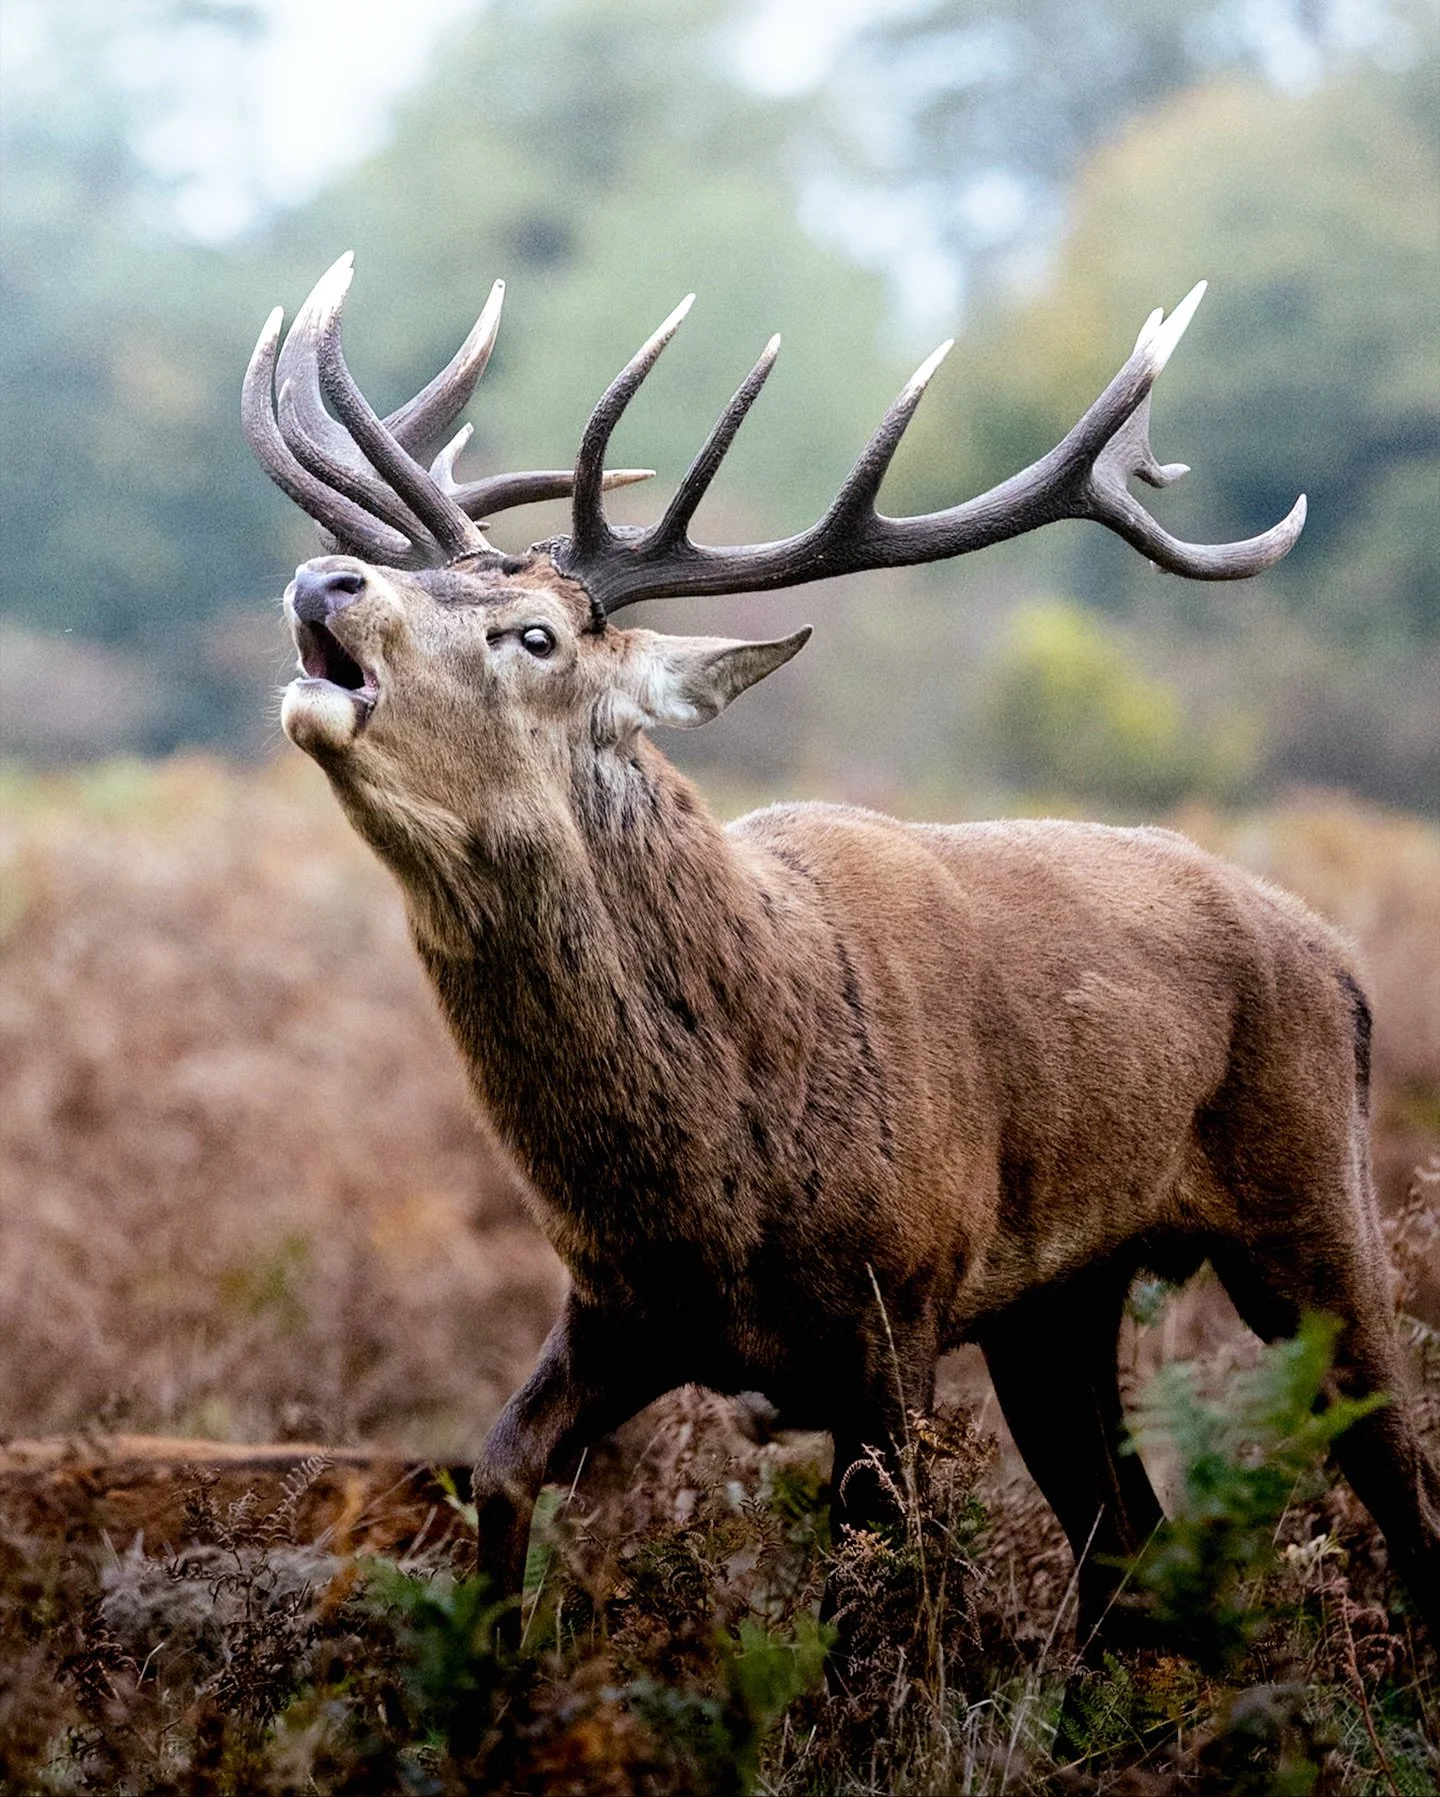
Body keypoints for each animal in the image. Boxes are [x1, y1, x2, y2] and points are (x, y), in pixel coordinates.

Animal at [243, 253, 1440, 1673]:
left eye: (535, 635)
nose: (327, 582)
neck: (715, 1193)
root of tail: (1340, 961)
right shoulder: (620, 1309)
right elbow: (497, 1468)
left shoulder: (894, 1313)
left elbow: (873, 1623)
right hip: (1059, 1302)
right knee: (1128, 1538)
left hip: (1314, 1207)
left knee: (1403, 1486)